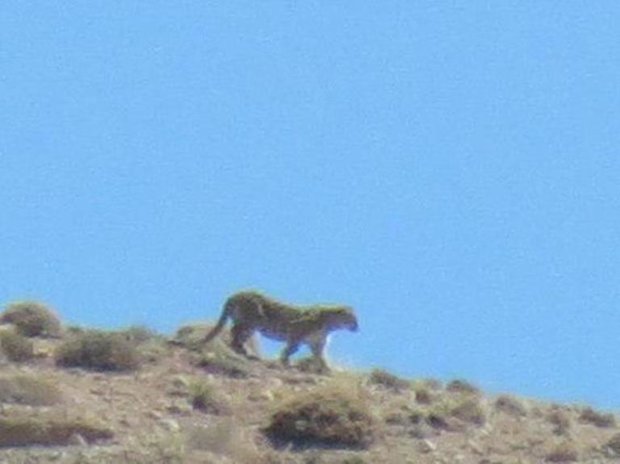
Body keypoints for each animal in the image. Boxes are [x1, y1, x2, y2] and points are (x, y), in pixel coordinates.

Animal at [203, 290, 358, 370]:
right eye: (353, 318)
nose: (357, 327)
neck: (331, 325)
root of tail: (236, 293)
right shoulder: (295, 332)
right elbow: (291, 348)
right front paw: (285, 361)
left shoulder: (316, 344)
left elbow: (320, 357)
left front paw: (327, 369)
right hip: (252, 320)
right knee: (235, 332)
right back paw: (242, 350)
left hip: (249, 324)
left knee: (237, 333)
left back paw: (243, 350)